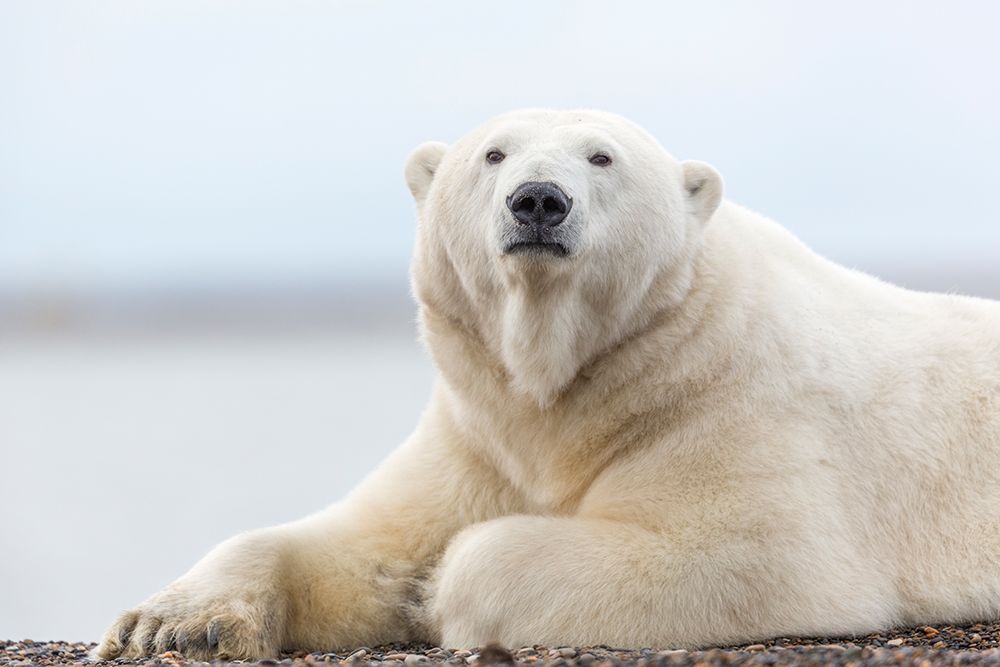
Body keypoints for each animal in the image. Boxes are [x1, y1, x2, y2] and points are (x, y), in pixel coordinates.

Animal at [94, 109, 1000, 660]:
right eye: (492, 153)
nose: (538, 200)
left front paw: (439, 592)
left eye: (603, 156)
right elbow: (363, 541)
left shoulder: (734, 404)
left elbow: (751, 552)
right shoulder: (475, 429)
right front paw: (169, 624)